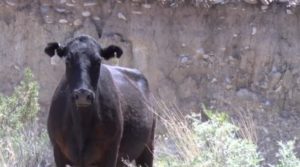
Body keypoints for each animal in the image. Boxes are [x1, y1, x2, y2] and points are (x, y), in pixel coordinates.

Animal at [45, 35, 157, 167]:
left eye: (98, 61)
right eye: (68, 60)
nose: (83, 94)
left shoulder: (111, 151)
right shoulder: (58, 150)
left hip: (148, 147)